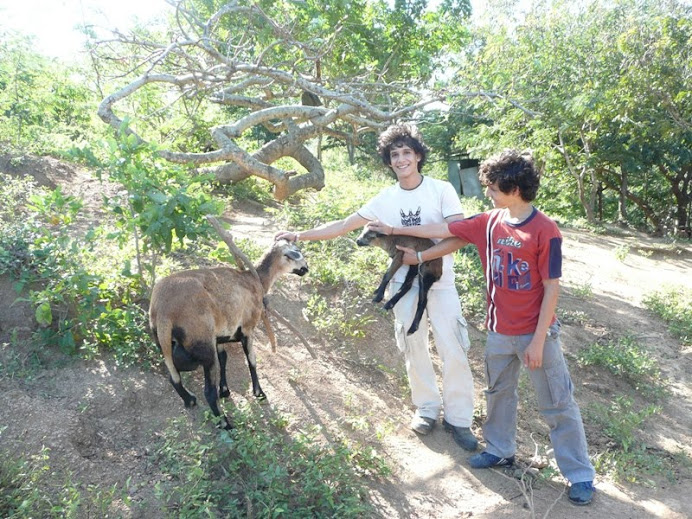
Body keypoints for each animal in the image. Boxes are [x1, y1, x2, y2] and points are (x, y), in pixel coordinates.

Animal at [149, 240, 308, 430]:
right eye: (297, 251)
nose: (306, 268)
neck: (257, 279)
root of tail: (164, 312)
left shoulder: (220, 337)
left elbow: (224, 359)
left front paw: (225, 390)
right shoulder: (247, 328)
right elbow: (252, 361)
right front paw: (259, 393)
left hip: (171, 345)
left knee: (174, 376)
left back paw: (189, 400)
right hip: (203, 343)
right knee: (208, 392)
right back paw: (226, 424)